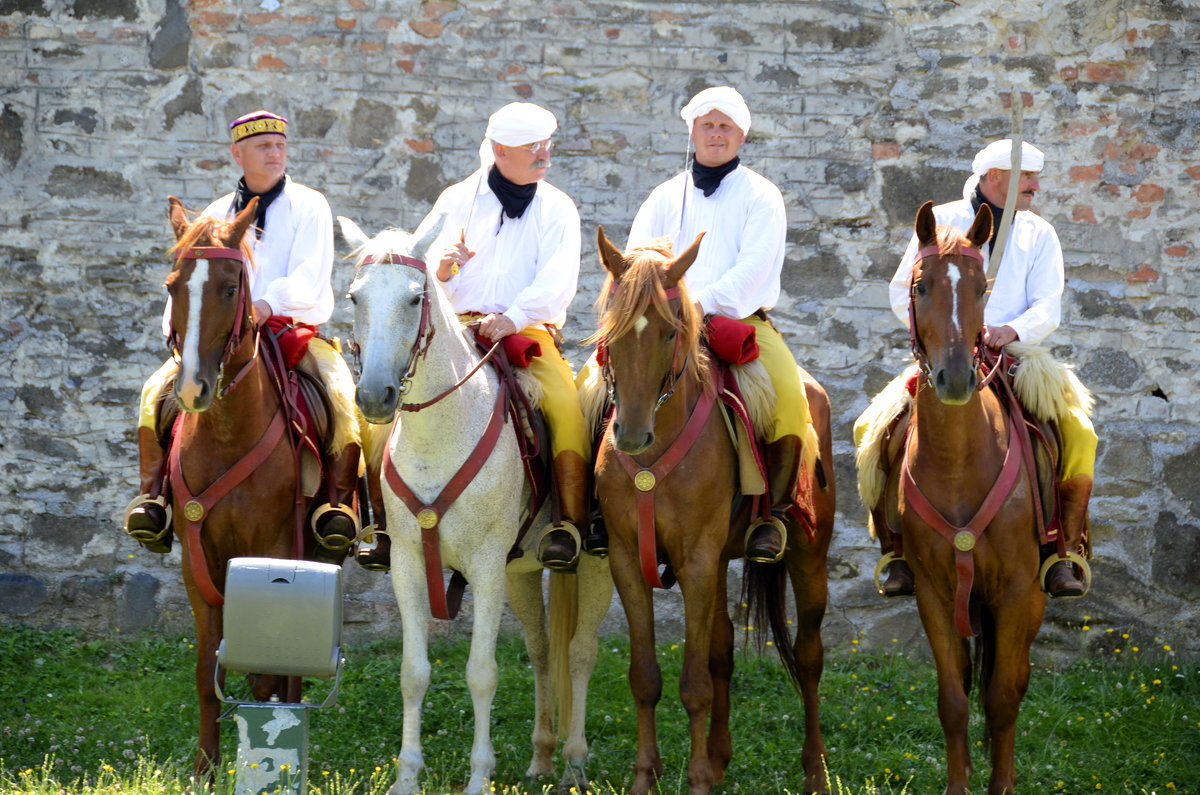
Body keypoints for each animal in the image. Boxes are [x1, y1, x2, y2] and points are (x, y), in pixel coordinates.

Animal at [159, 195, 338, 782]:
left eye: (231, 288)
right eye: (173, 286)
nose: (192, 387)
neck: (228, 433)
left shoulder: (276, 551)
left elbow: (265, 673)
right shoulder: (200, 564)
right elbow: (205, 670)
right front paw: (205, 766)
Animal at [340, 218, 614, 795]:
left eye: (415, 296)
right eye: (355, 297)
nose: (374, 396)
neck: (439, 436)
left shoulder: (486, 567)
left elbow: (482, 673)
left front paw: (478, 777)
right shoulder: (407, 566)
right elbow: (414, 673)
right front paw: (407, 775)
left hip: (594, 564)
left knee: (580, 652)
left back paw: (574, 762)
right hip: (522, 572)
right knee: (542, 650)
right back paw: (541, 756)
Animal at [588, 230, 835, 795]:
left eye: (668, 331)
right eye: (611, 329)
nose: (631, 435)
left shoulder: (697, 562)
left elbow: (695, 683)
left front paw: (697, 779)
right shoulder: (627, 559)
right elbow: (646, 677)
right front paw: (647, 776)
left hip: (808, 554)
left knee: (808, 657)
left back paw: (814, 769)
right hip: (722, 561)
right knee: (721, 650)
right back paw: (721, 756)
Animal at [892, 200, 1051, 795]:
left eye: (984, 287)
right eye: (920, 286)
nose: (957, 378)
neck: (960, 464)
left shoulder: (1017, 594)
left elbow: (1003, 698)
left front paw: (1001, 783)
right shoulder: (934, 594)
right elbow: (955, 700)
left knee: (1015, 680)